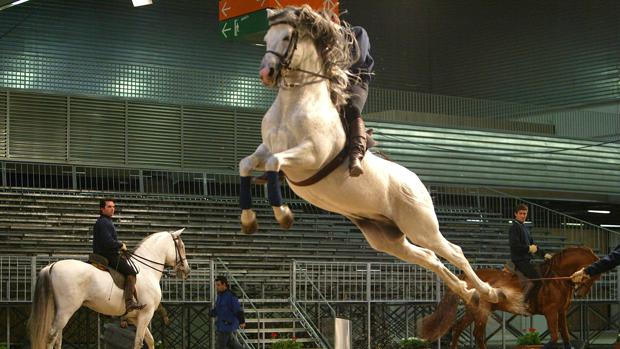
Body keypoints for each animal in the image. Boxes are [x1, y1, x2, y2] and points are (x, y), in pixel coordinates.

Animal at [29, 228, 189, 348]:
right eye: (181, 247)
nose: (187, 270)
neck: (146, 269)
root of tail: (52, 266)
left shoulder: (135, 318)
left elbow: (150, 341)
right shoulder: (146, 314)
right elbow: (138, 342)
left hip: (58, 311)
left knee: (57, 338)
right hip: (65, 311)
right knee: (52, 336)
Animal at [237, 4, 504, 304]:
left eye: (286, 38)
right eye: (266, 38)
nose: (266, 73)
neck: (292, 105)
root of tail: (417, 182)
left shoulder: (309, 155)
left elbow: (274, 163)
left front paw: (283, 215)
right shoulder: (266, 149)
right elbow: (246, 164)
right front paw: (248, 220)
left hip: (420, 226)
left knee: (453, 252)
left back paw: (489, 292)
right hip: (387, 238)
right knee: (429, 258)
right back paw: (466, 293)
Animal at [418, 245, 600, 348]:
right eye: (592, 274)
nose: (580, 293)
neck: (557, 278)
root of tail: (466, 276)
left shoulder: (561, 312)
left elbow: (566, 337)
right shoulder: (550, 312)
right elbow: (555, 338)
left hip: (473, 311)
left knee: (460, 329)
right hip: (480, 312)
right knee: (477, 335)